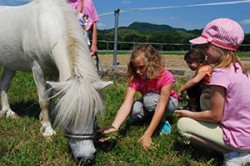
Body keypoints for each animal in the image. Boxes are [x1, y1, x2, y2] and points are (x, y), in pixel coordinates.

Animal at [0, 0, 111, 164]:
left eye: (95, 115)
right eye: (69, 119)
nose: (86, 159)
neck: (46, 23)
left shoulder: (53, 71)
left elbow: (51, 96)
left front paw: (45, 119)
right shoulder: (37, 69)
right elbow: (44, 100)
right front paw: (48, 130)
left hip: (10, 65)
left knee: (4, 85)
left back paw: (8, 112)